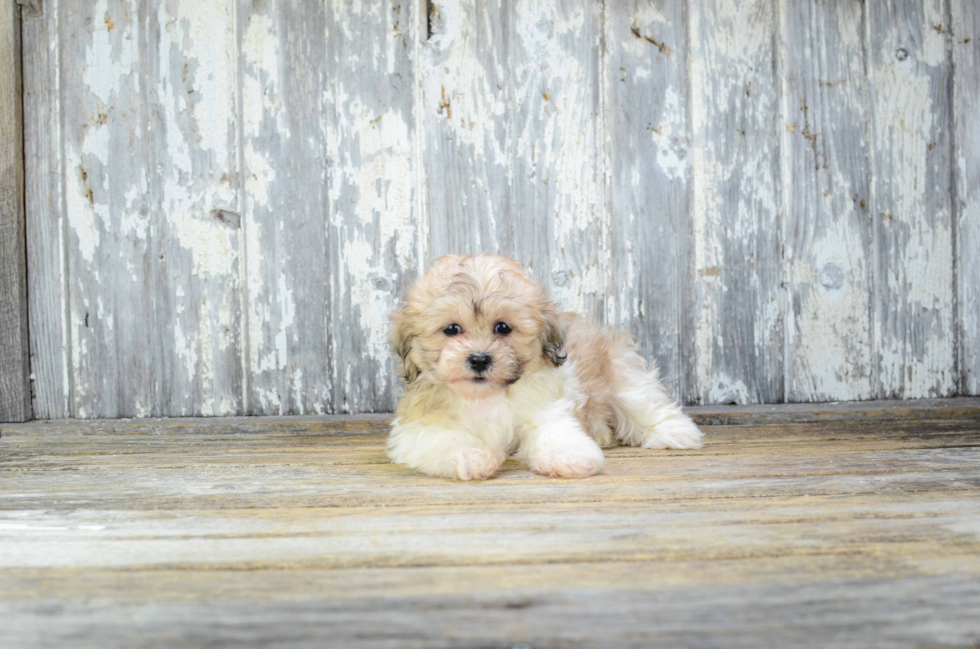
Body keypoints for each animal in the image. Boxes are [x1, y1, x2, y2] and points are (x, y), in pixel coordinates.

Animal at [386, 256, 700, 478]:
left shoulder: (547, 408)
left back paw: (674, 433)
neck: (487, 396)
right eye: (451, 329)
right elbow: (446, 439)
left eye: (503, 327)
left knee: (644, 403)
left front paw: (570, 456)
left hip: (622, 372)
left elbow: (555, 431)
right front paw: (472, 456)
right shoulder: (419, 427)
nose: (479, 359)